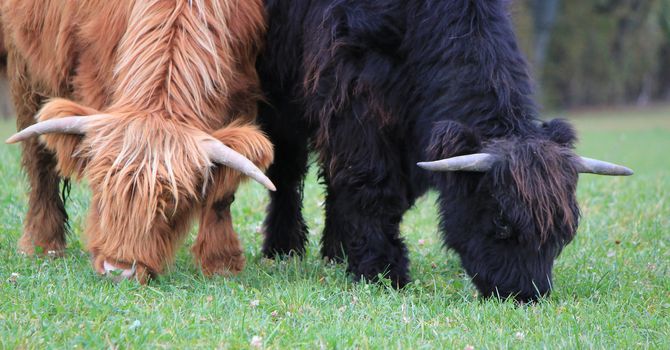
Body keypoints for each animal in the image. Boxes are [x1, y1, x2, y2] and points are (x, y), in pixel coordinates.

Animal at [2, 0, 274, 284]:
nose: (117, 269)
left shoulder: (240, 98)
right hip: (25, 71)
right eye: (100, 190)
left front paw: (221, 263)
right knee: (40, 164)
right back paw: (41, 246)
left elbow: (222, 191)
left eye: (170, 204)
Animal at [258, 0, 636, 300]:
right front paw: (382, 272)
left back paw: (334, 253)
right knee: (287, 172)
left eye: (564, 229)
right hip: (280, 98)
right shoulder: (355, 100)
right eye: (501, 220)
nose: (526, 294)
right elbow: (371, 184)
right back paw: (283, 249)